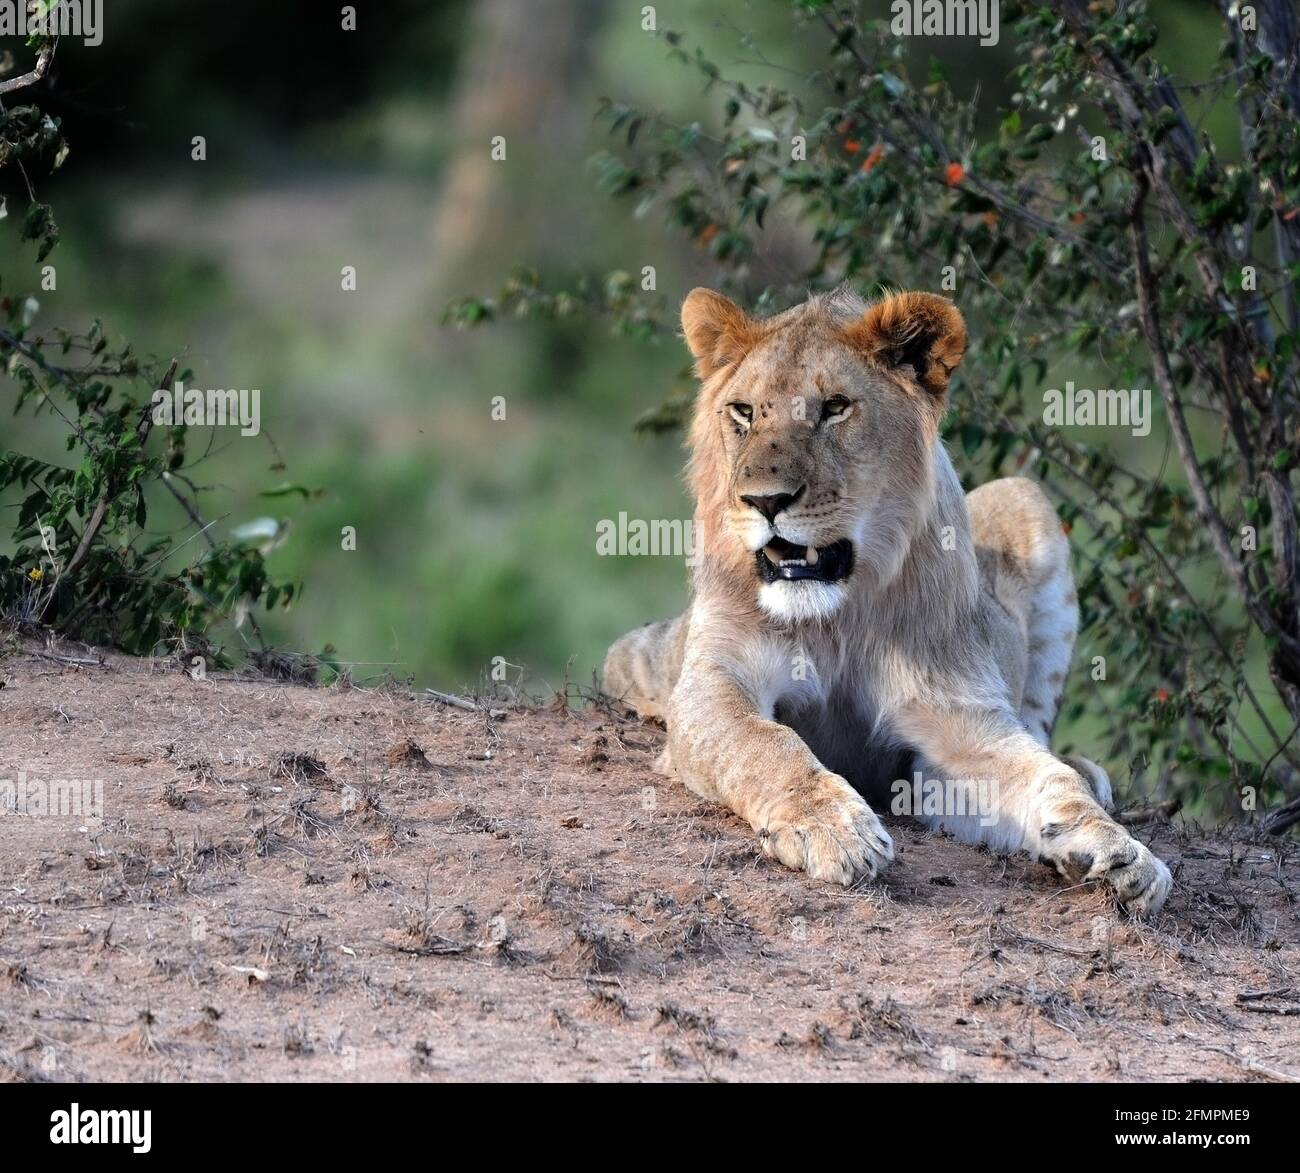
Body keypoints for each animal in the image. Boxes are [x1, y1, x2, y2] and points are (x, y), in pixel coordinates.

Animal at [602, 285, 1172, 917]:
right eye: (744, 412)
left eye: (834, 407)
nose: (764, 501)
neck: (838, 613)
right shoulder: (714, 681)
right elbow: (765, 744)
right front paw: (834, 828)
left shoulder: (956, 724)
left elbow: (1045, 778)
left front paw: (1117, 850)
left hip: (1023, 496)